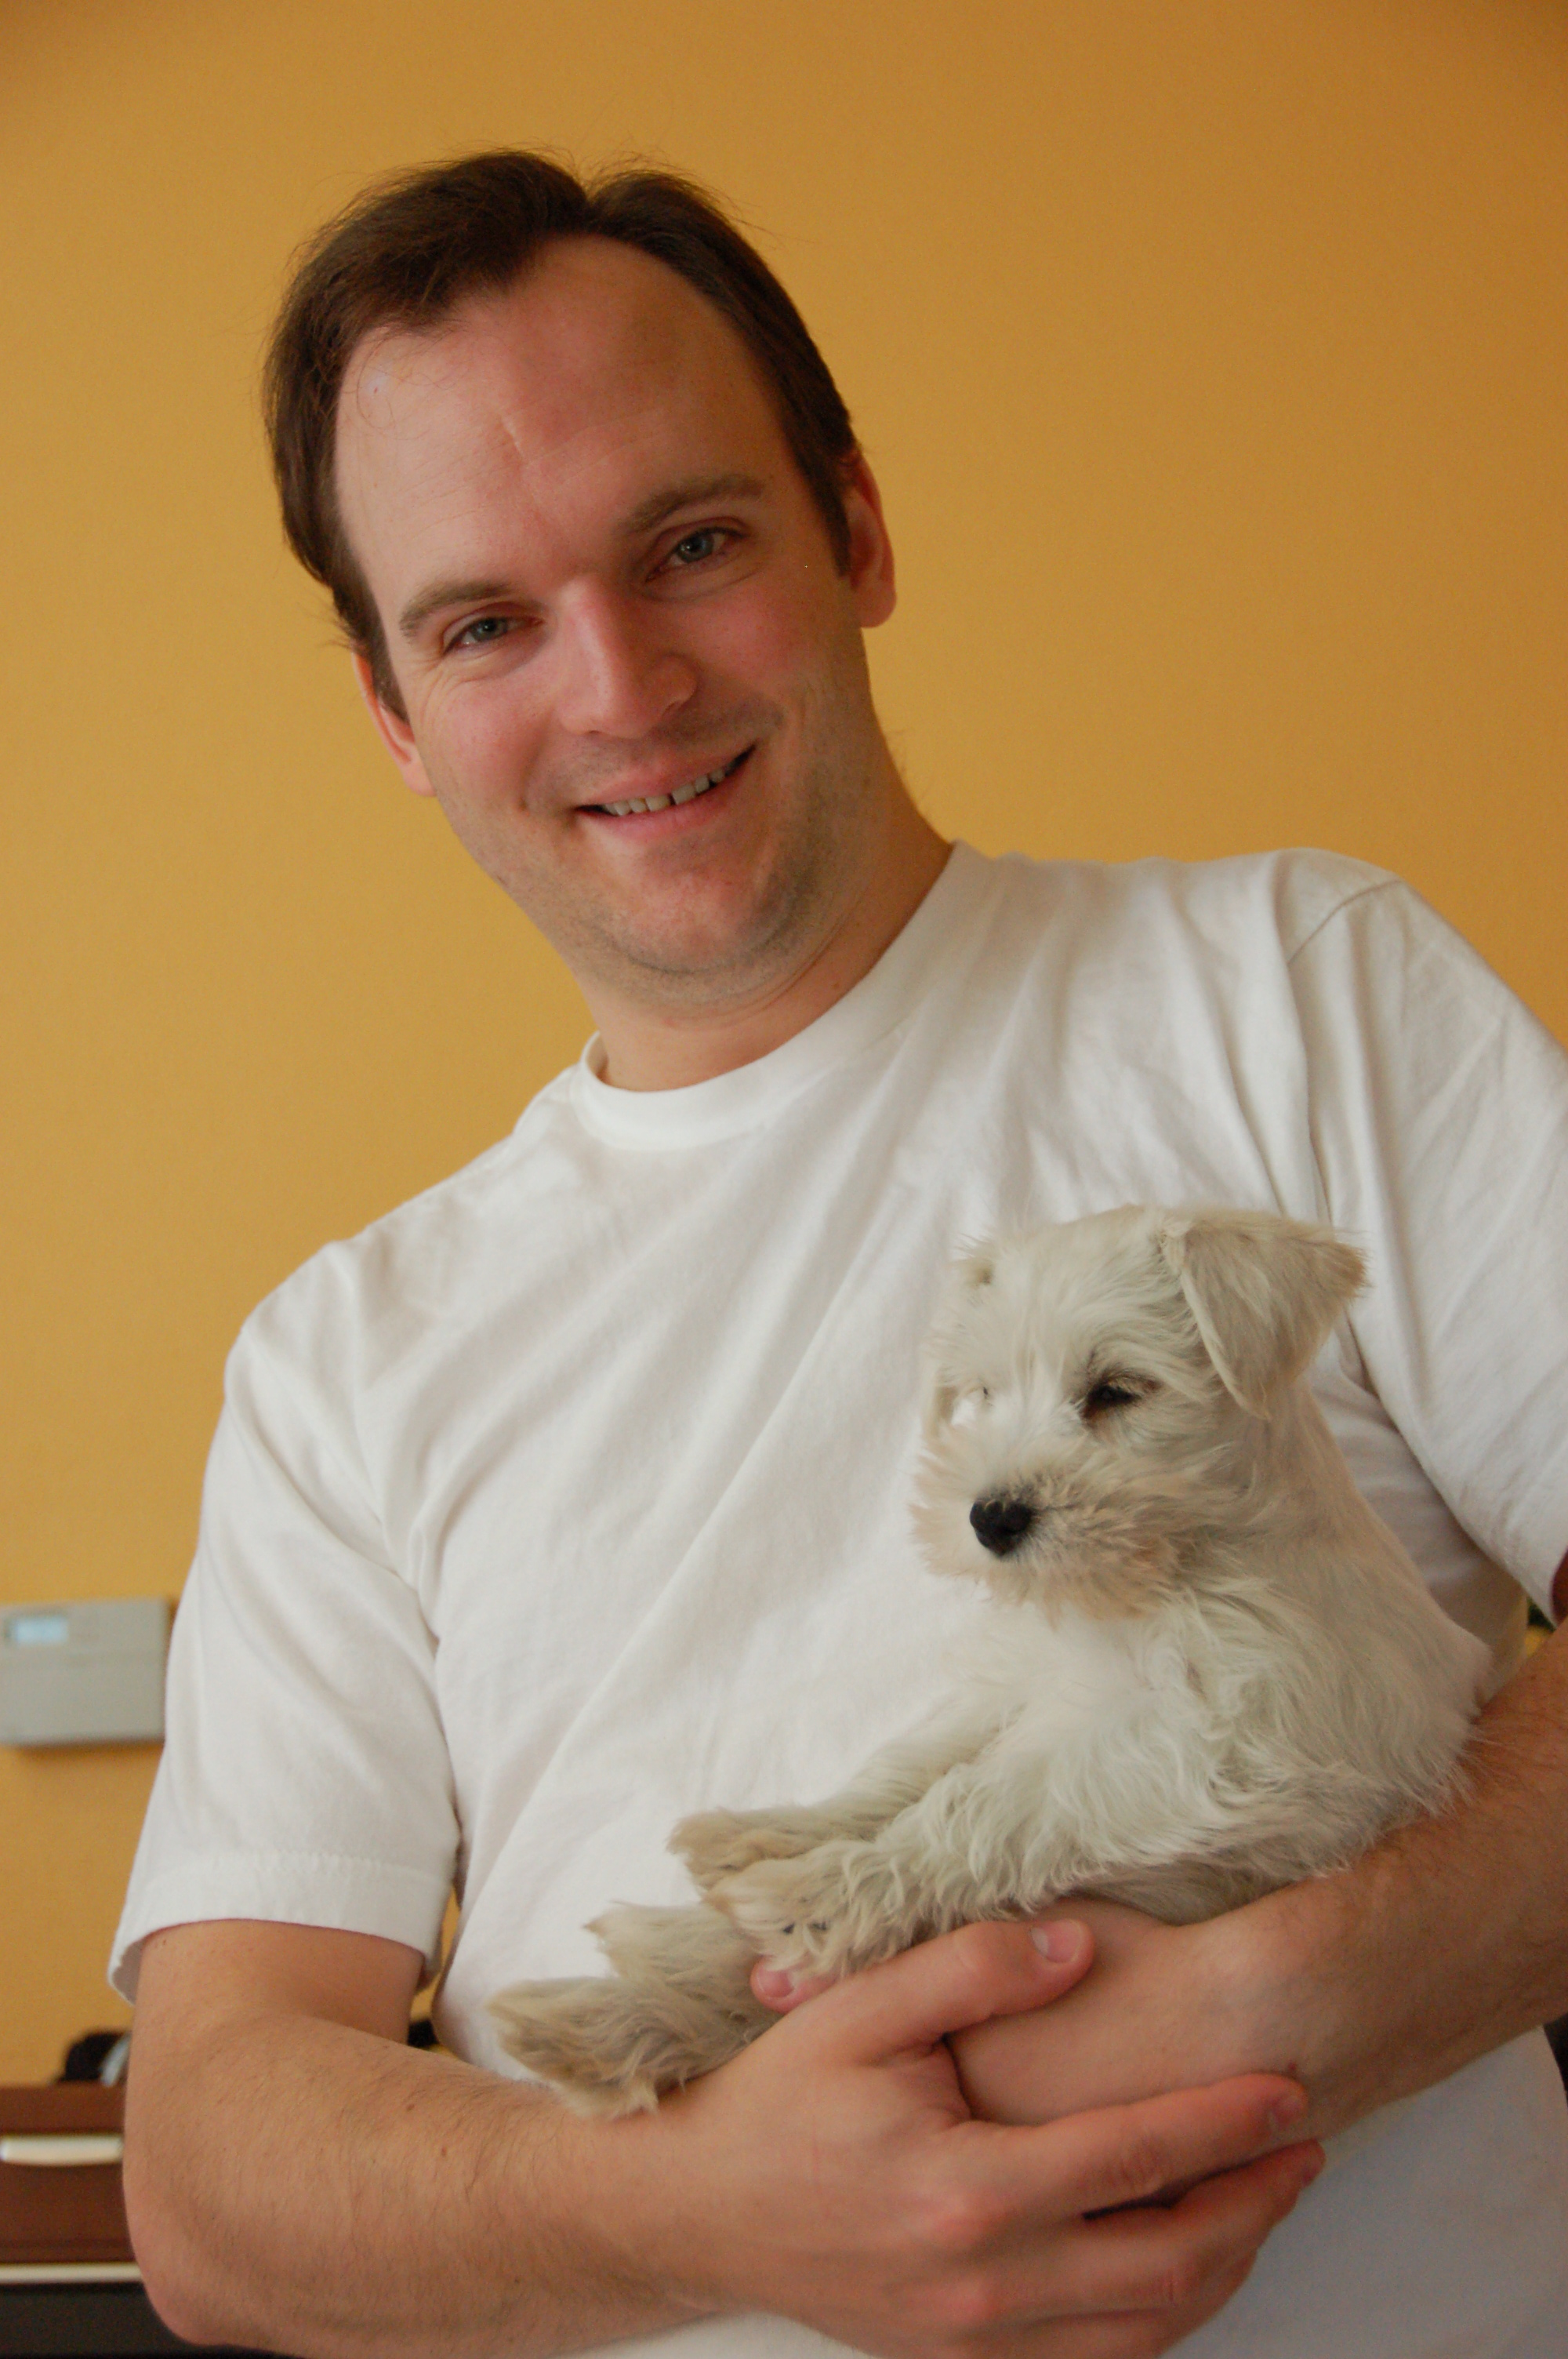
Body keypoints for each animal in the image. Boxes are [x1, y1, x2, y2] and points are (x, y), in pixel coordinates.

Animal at [490, 1205, 1492, 2116]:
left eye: (1115, 1389)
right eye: (983, 1392)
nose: (990, 1515)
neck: (1137, 1590)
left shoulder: (1228, 1743)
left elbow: (997, 1803)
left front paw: (826, 1889)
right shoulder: (1019, 1681)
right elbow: (901, 1770)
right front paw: (772, 1830)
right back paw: (599, 2012)